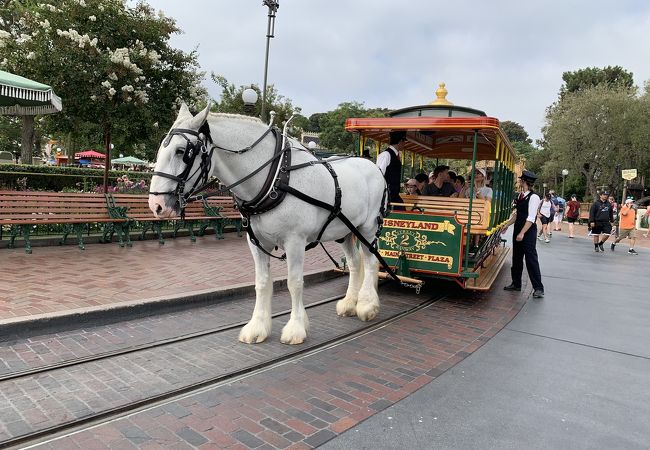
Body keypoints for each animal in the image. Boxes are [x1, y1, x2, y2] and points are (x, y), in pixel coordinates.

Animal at [149, 103, 384, 344]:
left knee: (371, 261)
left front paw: (296, 328)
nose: (156, 205)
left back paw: (367, 306)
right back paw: (349, 304)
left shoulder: (295, 241)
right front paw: (257, 327)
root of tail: (371, 165)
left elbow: (294, 282)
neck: (275, 178)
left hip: (368, 228)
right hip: (345, 231)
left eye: (181, 151)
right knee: (355, 263)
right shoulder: (256, 242)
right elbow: (262, 283)